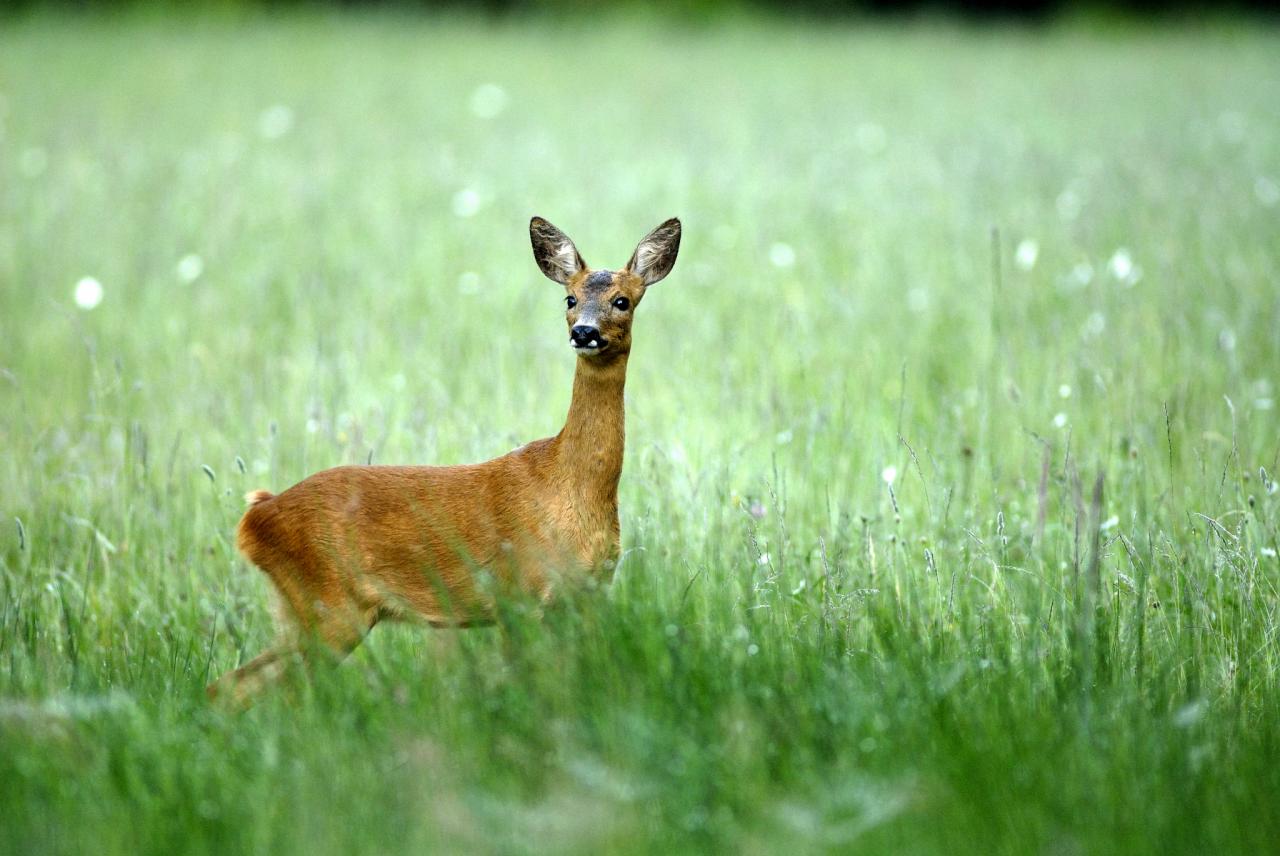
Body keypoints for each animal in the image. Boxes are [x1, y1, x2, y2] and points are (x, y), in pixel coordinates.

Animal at [209, 217, 680, 706]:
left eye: (622, 301)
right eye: (569, 298)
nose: (584, 332)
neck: (570, 486)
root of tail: (257, 515)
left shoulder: (590, 592)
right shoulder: (519, 593)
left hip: (304, 612)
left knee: (230, 685)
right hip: (328, 605)